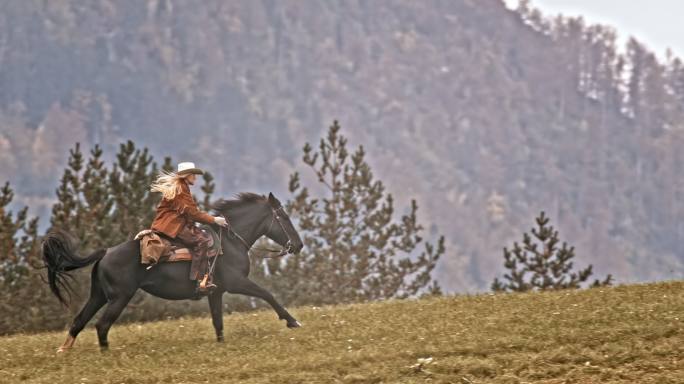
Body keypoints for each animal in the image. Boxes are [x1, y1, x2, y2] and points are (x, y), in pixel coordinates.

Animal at [40, 192, 302, 352]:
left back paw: (64, 349)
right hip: (119, 297)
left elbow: (218, 321)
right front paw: (292, 321)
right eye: (283, 217)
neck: (230, 241)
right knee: (102, 325)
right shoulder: (238, 282)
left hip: (99, 295)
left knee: (79, 321)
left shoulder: (216, 292)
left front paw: (221, 345)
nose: (298, 245)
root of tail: (105, 253)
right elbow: (268, 294)